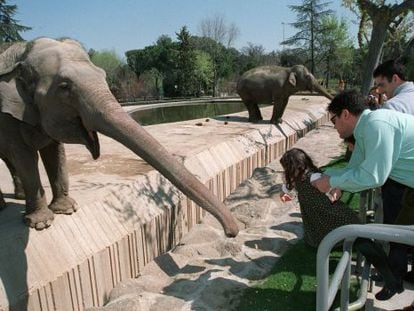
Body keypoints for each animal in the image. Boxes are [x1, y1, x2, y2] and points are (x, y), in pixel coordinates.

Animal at [0, 37, 239, 238]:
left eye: (103, 75)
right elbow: (24, 156)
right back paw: (6, 206)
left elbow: (55, 153)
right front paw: (41, 224)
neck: (23, 51)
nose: (232, 232)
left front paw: (67, 210)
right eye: (64, 86)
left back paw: (17, 198)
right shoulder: (7, 116)